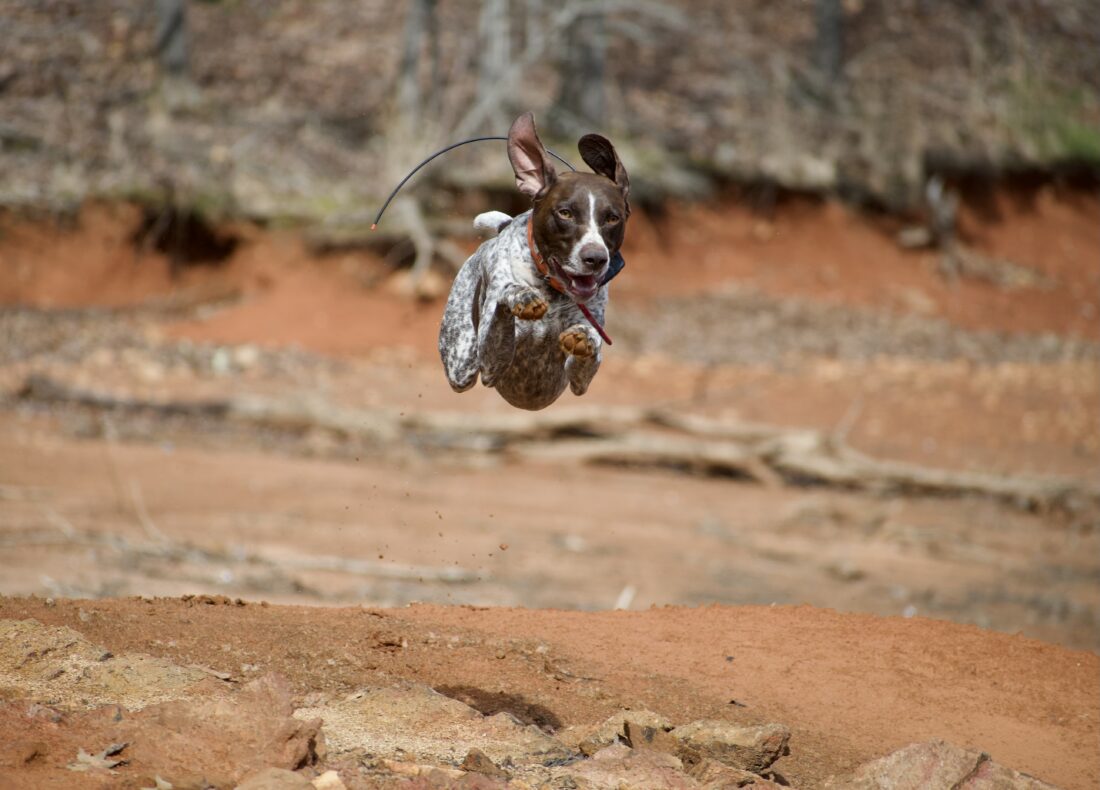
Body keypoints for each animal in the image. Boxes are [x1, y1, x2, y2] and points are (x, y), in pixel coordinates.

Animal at [435, 113, 629, 411]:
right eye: (565, 213)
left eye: (612, 218)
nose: (595, 258)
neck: (551, 289)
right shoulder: (491, 366)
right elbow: (506, 294)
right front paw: (522, 296)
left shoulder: (579, 381)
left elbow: (590, 347)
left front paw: (584, 335)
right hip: (462, 360)